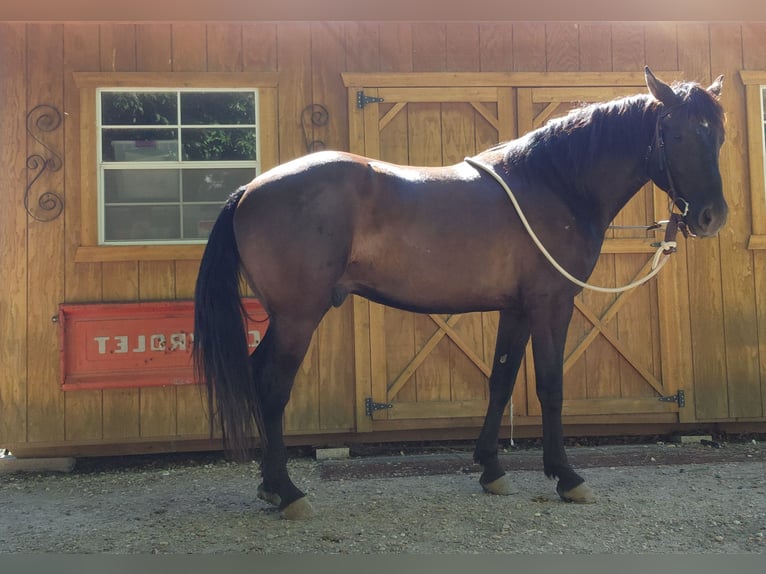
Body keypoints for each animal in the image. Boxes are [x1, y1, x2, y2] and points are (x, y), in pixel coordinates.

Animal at [193, 67, 727, 519]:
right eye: (678, 134)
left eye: (719, 136)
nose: (711, 216)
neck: (553, 183)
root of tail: (249, 190)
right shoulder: (551, 305)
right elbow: (550, 387)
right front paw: (566, 476)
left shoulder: (516, 309)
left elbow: (502, 381)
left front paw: (491, 469)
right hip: (298, 317)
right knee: (271, 386)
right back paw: (287, 493)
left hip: (286, 319)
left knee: (259, 377)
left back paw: (270, 486)